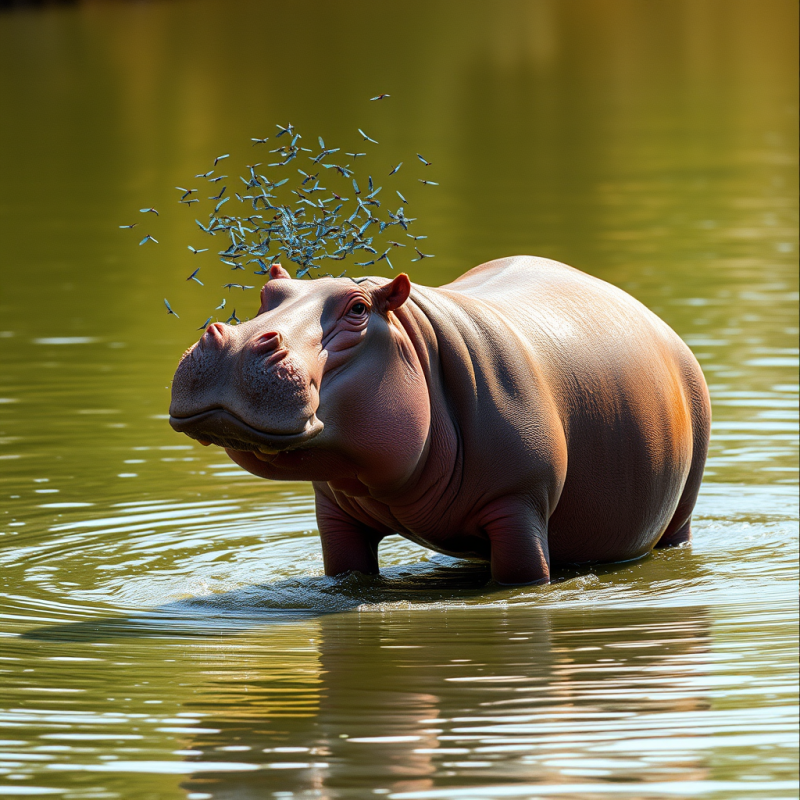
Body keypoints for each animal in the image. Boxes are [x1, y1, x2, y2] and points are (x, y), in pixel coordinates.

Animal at [169, 257, 710, 585]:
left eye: (358, 309)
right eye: (268, 292)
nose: (235, 343)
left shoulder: (519, 505)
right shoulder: (336, 517)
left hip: (682, 506)